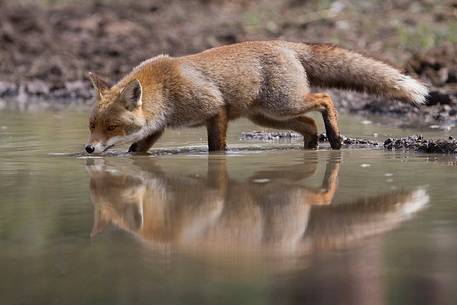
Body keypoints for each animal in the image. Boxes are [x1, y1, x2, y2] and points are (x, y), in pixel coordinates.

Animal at [84, 40, 428, 153]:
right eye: (91, 125)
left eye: (112, 127)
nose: (88, 149)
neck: (166, 89)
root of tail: (285, 43)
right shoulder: (158, 129)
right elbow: (136, 151)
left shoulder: (216, 110)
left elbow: (217, 149)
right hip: (268, 117)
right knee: (309, 125)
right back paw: (313, 149)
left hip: (283, 105)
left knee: (325, 98)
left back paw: (334, 138)